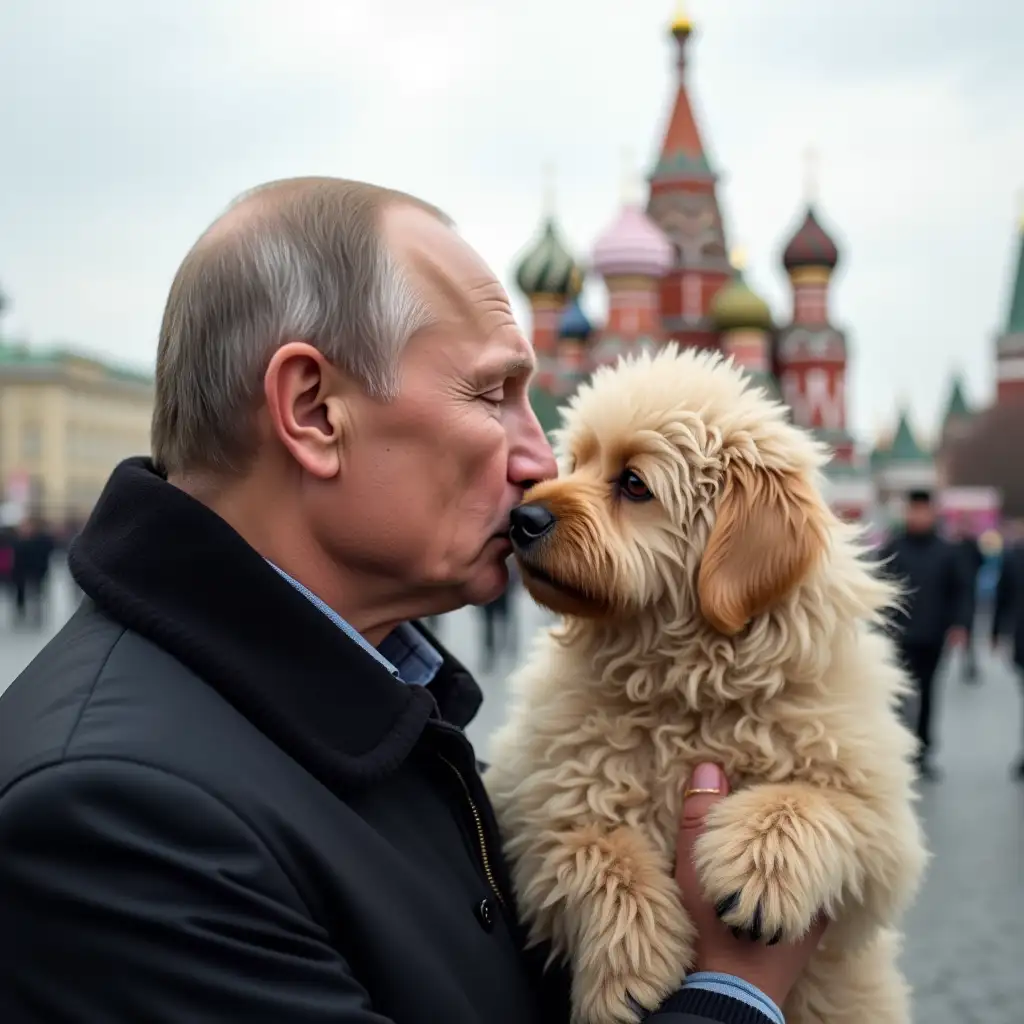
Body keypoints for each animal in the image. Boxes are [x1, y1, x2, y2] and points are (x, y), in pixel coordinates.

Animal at [483, 346, 925, 1024]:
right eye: (575, 462)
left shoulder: (883, 829)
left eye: (633, 484)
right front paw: (628, 970)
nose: (521, 516)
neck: (686, 690)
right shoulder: (536, 808)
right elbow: (598, 850)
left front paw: (759, 874)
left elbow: (805, 799)